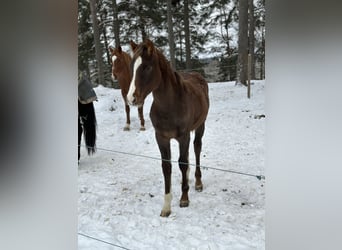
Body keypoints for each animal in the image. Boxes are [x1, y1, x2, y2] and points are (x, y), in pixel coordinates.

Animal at [127, 39, 210, 217]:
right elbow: (167, 167)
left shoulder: (183, 136)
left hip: (200, 126)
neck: (170, 105)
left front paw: (184, 198)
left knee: (196, 148)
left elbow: (182, 163)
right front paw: (166, 206)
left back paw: (198, 182)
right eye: (131, 66)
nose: (131, 99)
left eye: (147, 67)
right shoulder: (161, 137)